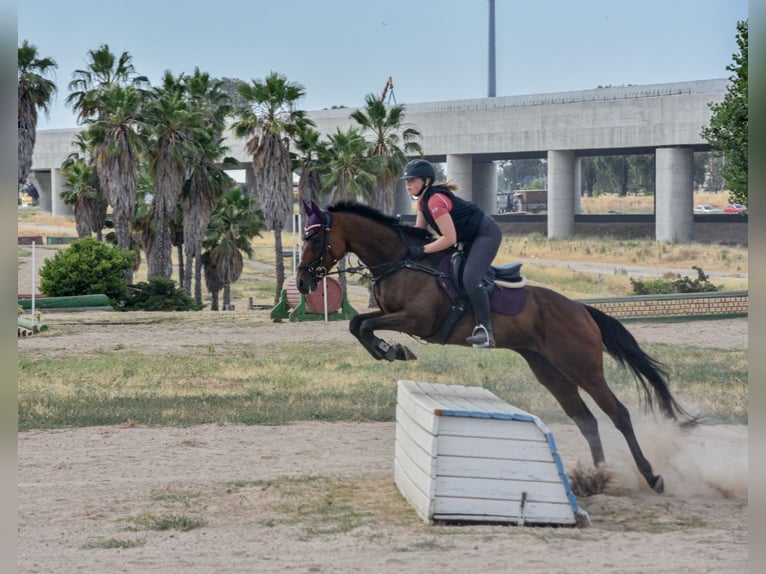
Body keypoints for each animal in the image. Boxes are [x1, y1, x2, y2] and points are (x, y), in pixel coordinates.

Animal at [296, 200, 692, 492]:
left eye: (315, 240)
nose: (302, 283)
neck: (403, 261)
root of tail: (581, 310)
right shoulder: (389, 312)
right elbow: (357, 324)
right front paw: (389, 350)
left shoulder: (415, 319)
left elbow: (364, 325)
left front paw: (391, 350)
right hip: (549, 369)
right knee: (586, 420)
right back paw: (597, 477)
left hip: (583, 367)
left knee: (618, 414)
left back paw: (650, 476)